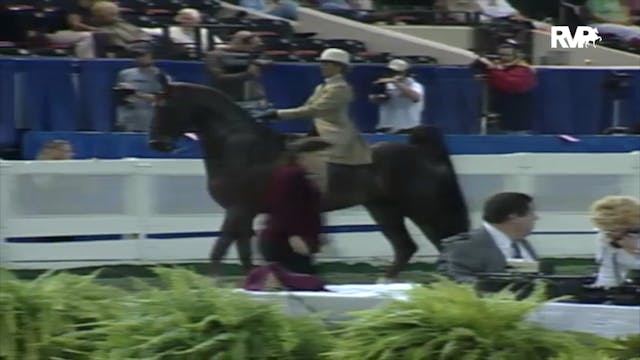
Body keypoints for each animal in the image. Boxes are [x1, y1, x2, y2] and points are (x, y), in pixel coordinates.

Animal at [149, 83, 470, 280]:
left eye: (164, 107)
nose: (156, 144)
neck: (242, 148)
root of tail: (422, 151)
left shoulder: (238, 210)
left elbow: (220, 248)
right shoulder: (244, 213)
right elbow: (242, 252)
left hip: (422, 210)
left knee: (444, 244)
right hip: (384, 210)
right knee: (406, 248)